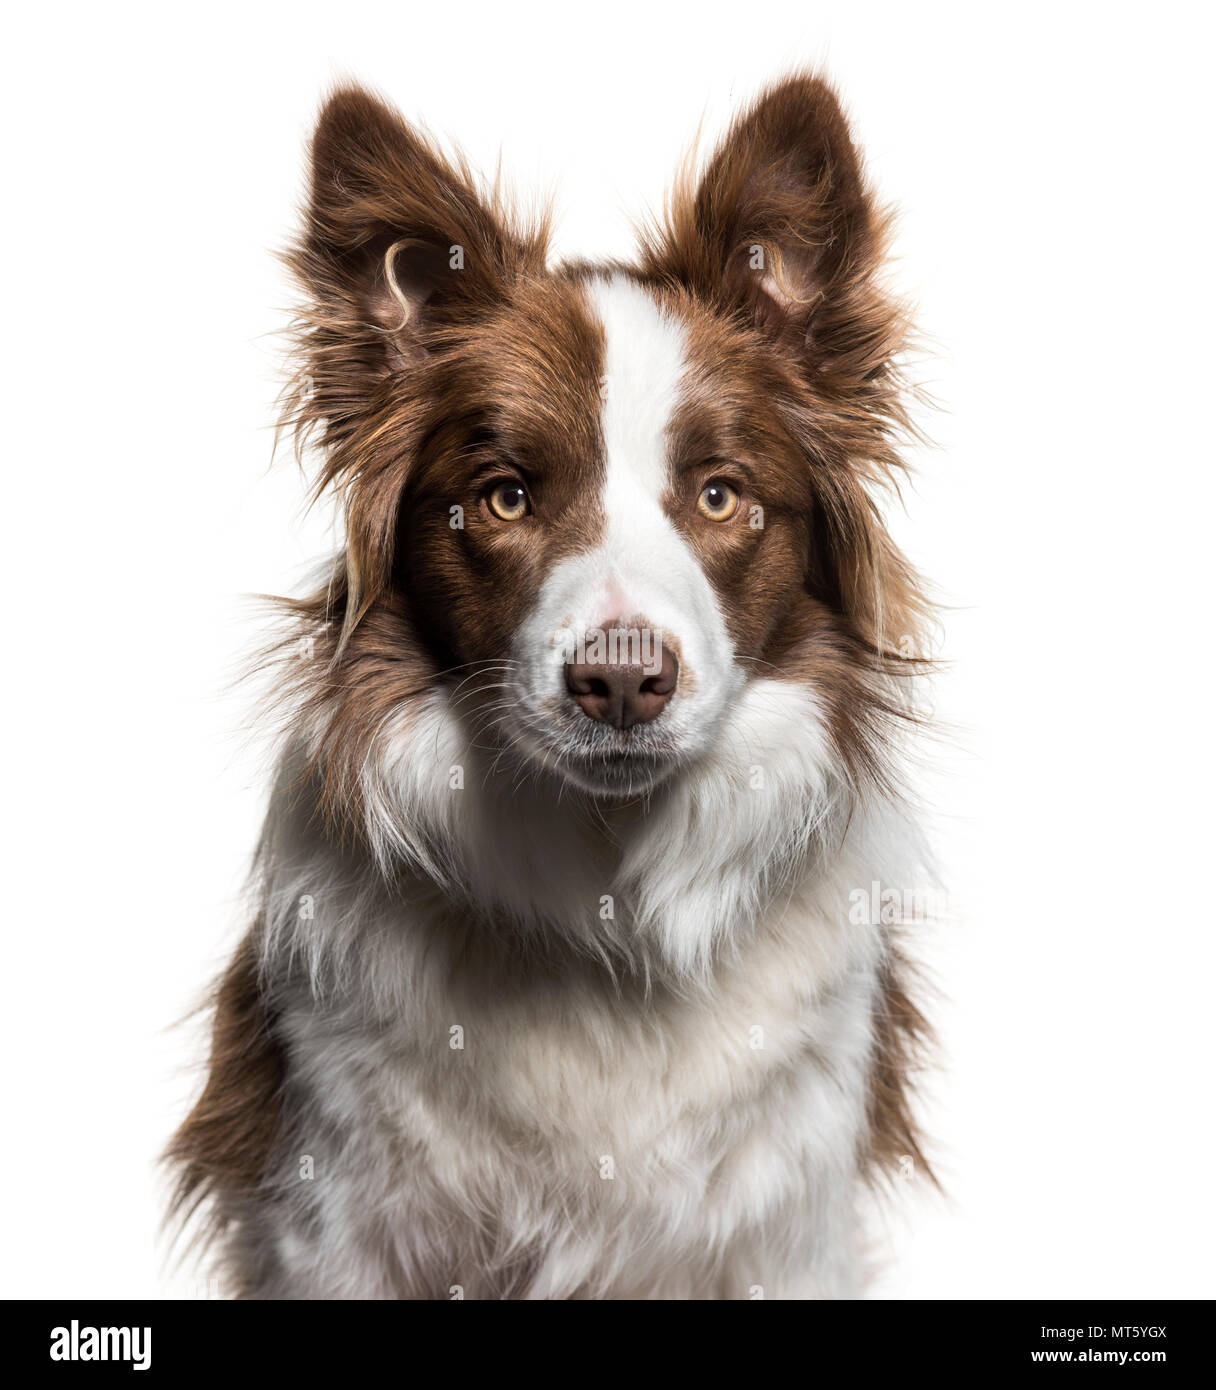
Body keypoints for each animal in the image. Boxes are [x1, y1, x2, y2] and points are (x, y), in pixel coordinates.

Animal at [168, 70, 933, 1295]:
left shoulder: (779, 1223)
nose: (621, 685)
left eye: (720, 496)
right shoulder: (335, 1213)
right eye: (505, 496)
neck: (606, 897)